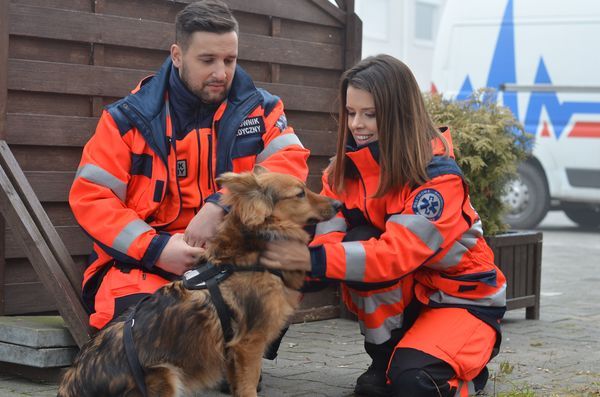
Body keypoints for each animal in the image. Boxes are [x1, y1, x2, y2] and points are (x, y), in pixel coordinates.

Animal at [58, 171, 340, 396]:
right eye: (300, 193)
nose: (338, 203)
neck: (245, 258)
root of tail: (72, 384)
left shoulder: (232, 351)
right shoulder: (249, 345)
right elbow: (248, 388)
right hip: (165, 375)